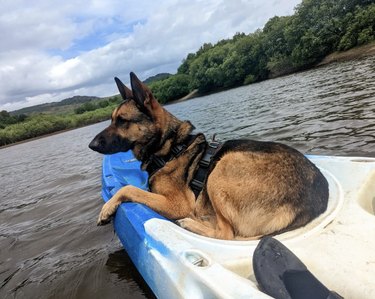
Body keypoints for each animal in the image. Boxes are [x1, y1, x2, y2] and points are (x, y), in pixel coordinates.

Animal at [89, 72, 328, 241]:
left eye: (122, 121)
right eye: (111, 119)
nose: (91, 145)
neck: (170, 148)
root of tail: (311, 204)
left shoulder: (177, 204)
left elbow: (128, 188)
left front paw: (106, 208)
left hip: (221, 169)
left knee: (226, 234)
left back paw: (191, 224)